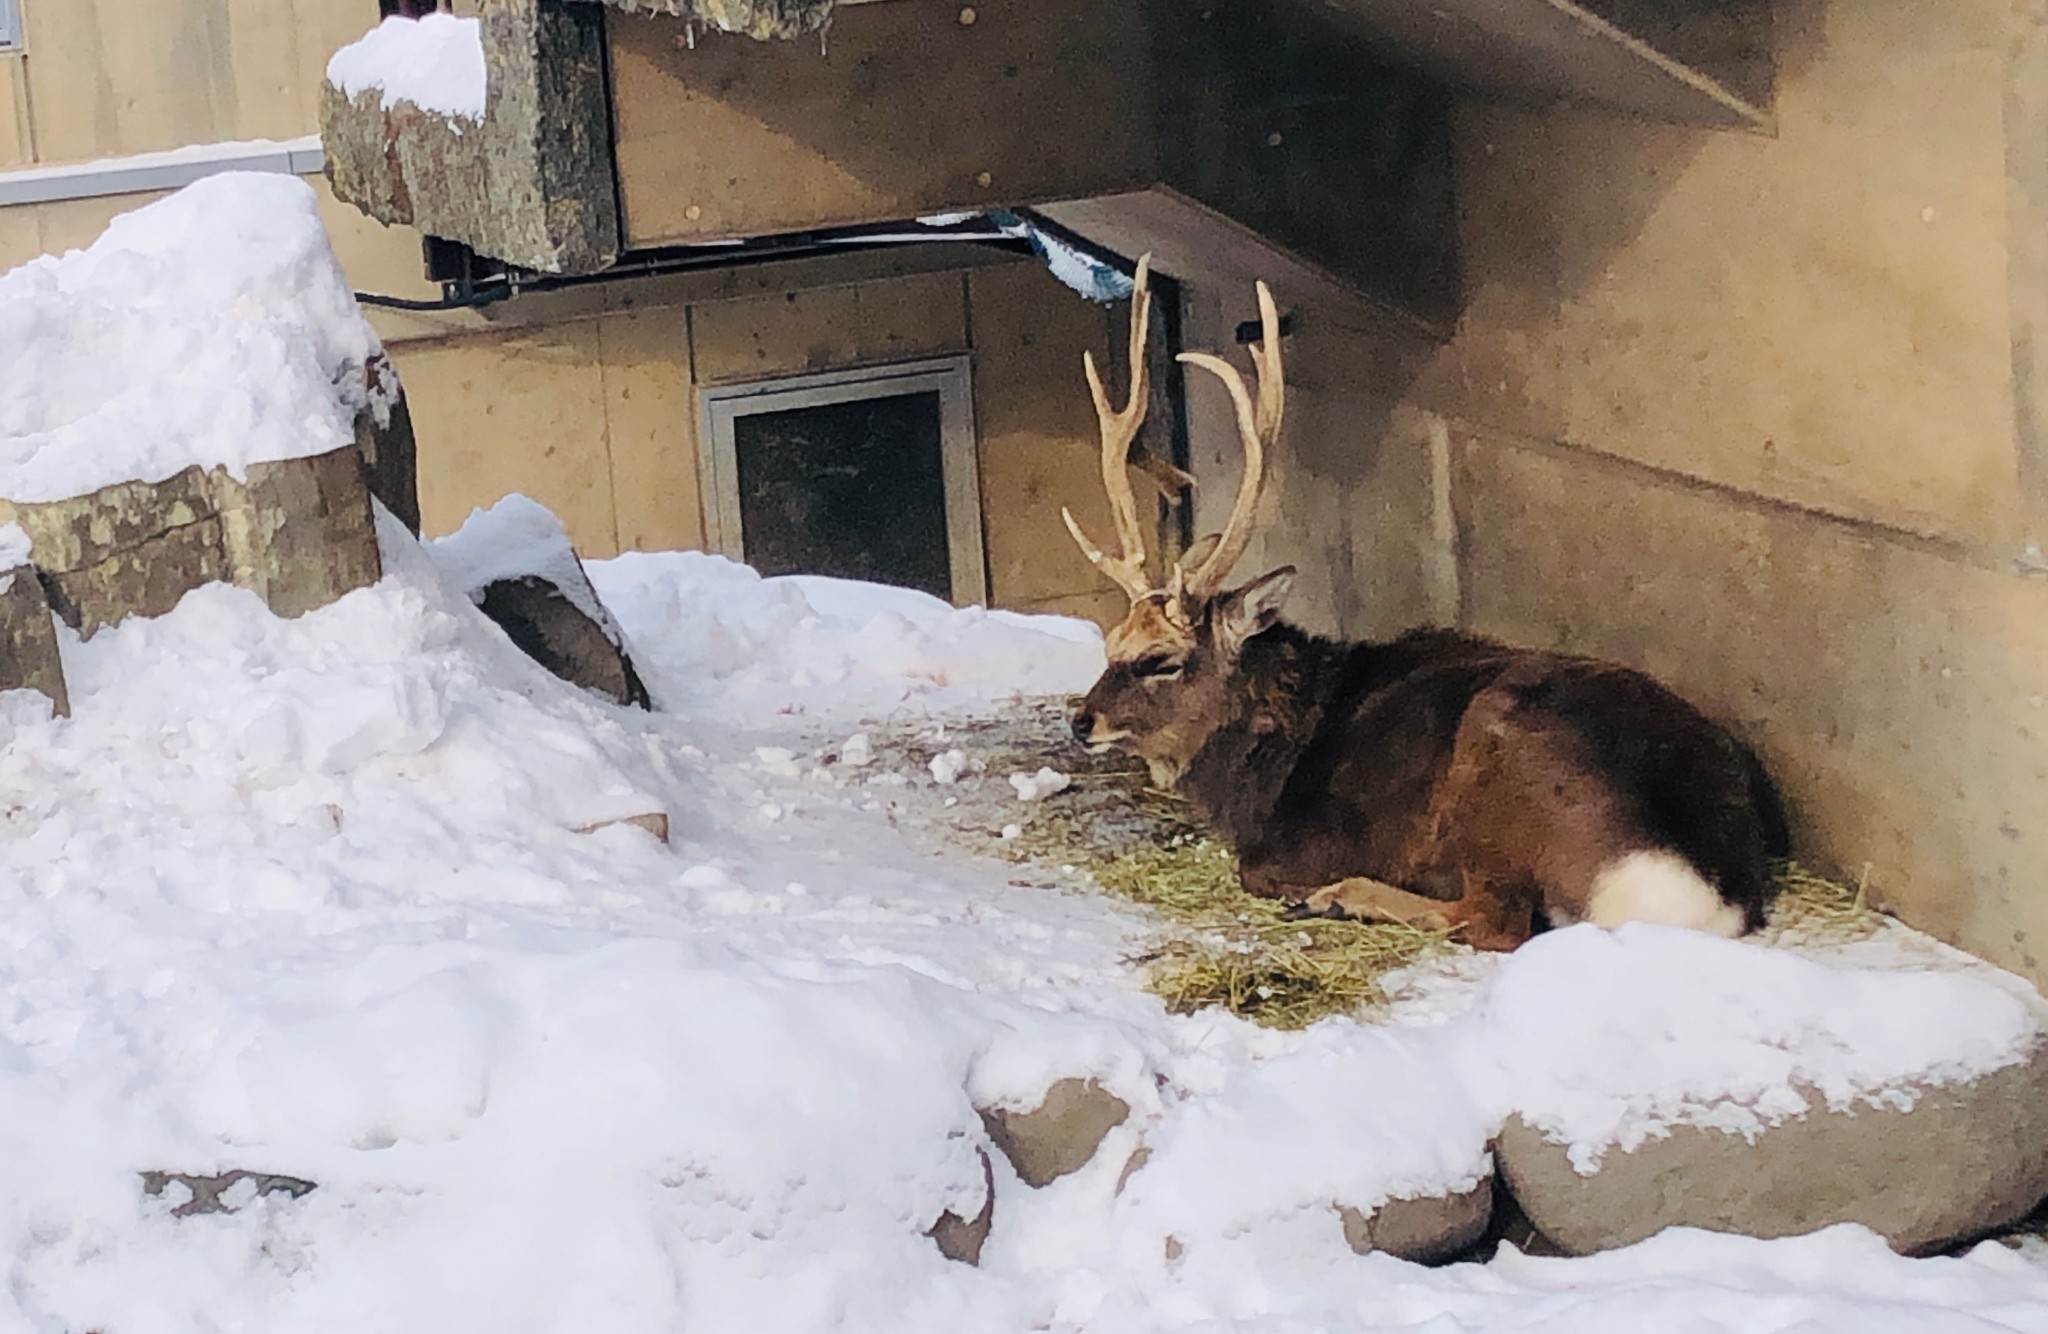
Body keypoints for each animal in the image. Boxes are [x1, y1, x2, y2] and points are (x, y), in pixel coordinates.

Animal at [1064, 258, 1785, 950]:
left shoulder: (1299, 846)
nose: (1082, 721)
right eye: (1111, 643)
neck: (1264, 763)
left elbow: (1257, 870)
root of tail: (1694, 893)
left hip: (1498, 759)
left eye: (1163, 660)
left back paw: (1343, 897)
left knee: (1497, 921)